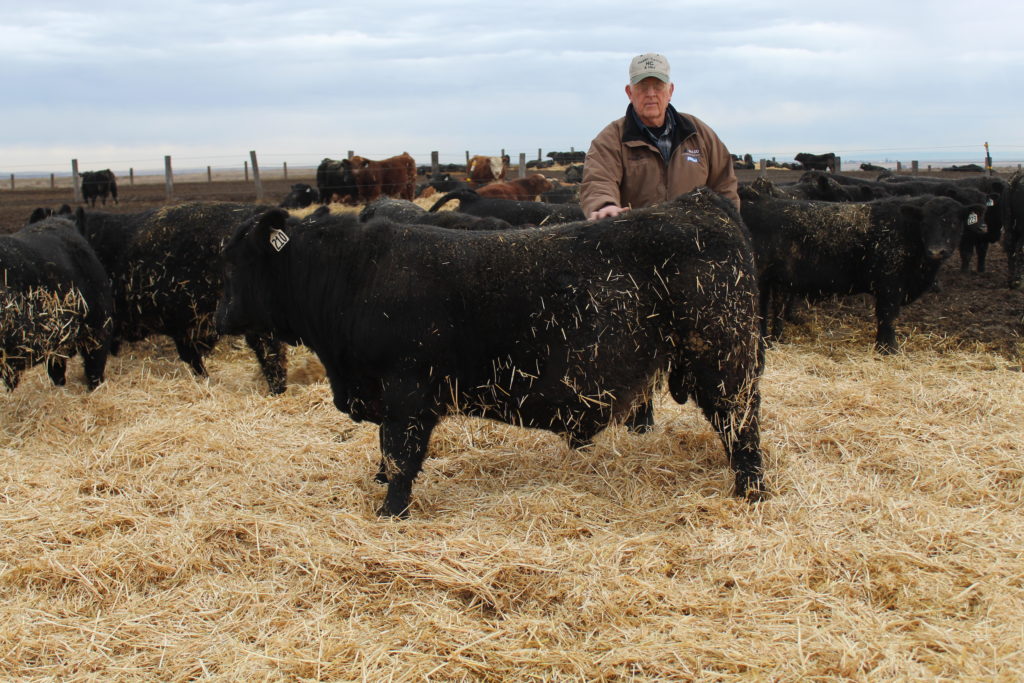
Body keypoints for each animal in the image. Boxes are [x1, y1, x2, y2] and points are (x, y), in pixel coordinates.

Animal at [741, 193, 978, 350]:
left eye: (955, 223)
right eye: (925, 223)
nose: (937, 250)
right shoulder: (890, 285)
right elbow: (887, 315)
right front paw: (888, 348)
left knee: (773, 308)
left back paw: (771, 340)